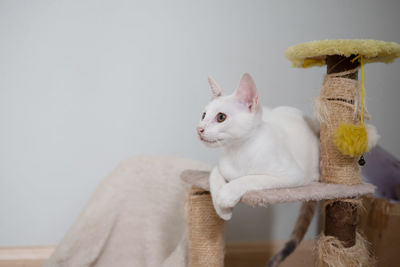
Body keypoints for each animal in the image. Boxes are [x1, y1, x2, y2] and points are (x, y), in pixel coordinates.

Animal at [197, 74, 318, 222]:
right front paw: (223, 211)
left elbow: (250, 178)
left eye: (221, 117)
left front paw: (225, 195)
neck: (238, 151)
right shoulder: (220, 167)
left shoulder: (293, 175)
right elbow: (214, 176)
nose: (199, 129)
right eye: (203, 115)